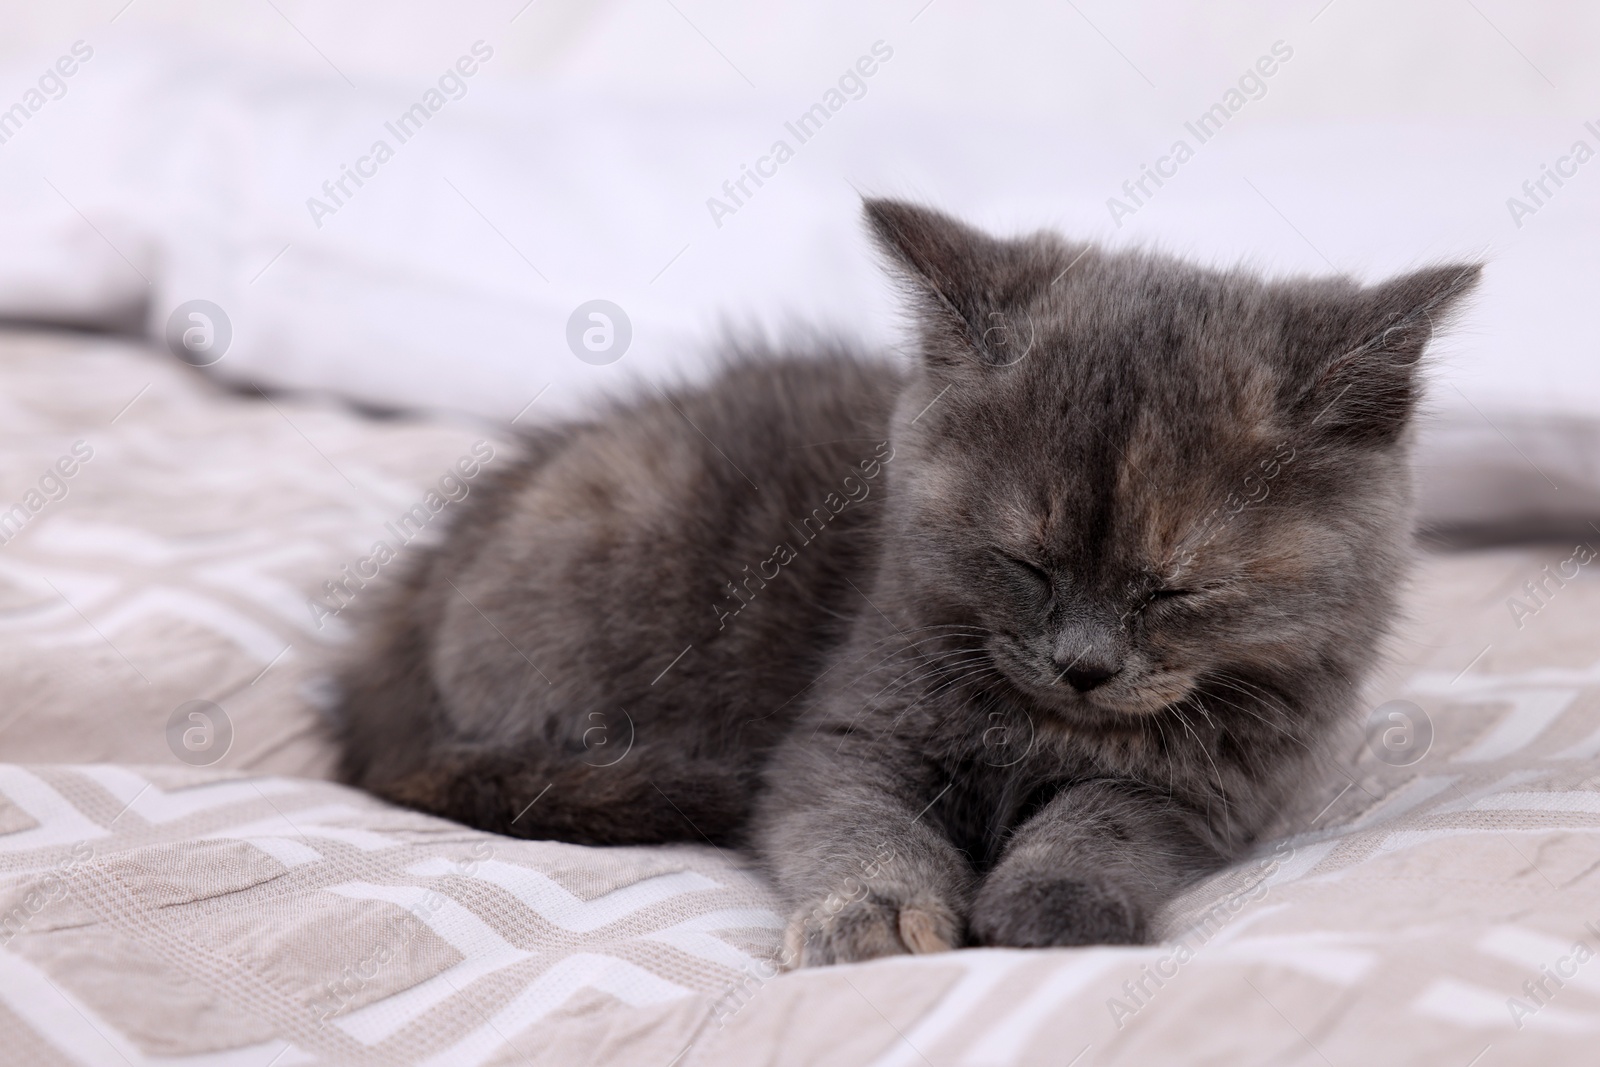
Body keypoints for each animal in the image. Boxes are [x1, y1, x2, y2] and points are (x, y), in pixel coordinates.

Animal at [331, 195, 1478, 966]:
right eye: (1022, 560)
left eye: (1174, 589)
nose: (1084, 665)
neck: (1043, 728)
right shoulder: (844, 732)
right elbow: (857, 821)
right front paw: (871, 911)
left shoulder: (1203, 793)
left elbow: (1104, 822)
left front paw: (1051, 900)